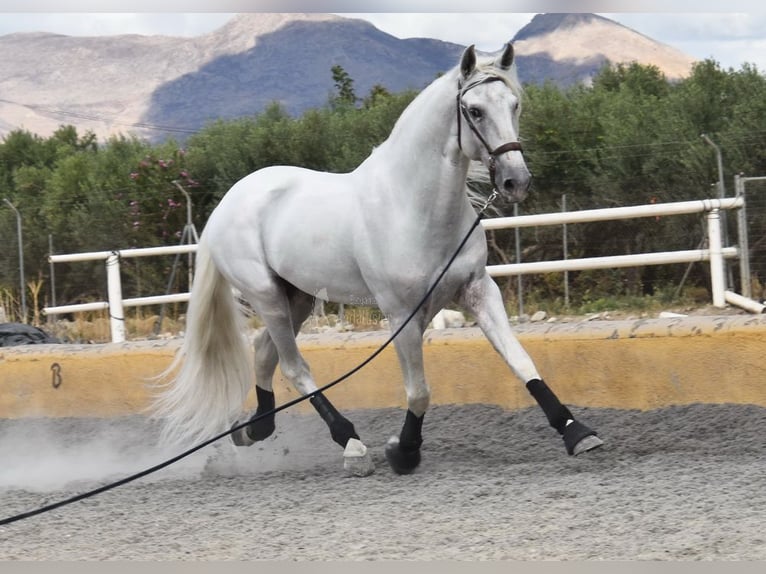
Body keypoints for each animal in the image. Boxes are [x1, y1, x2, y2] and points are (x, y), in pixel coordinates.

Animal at [153, 42, 604, 476]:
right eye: (474, 110)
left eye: (514, 105)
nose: (516, 181)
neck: (413, 206)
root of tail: (227, 203)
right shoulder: (401, 313)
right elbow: (419, 391)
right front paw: (403, 452)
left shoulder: (478, 292)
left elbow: (521, 360)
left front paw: (578, 433)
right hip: (267, 297)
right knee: (294, 368)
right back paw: (351, 445)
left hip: (297, 298)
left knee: (265, 352)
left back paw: (252, 430)